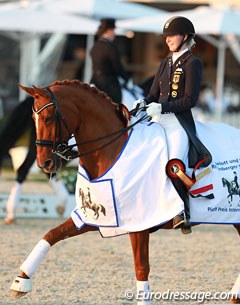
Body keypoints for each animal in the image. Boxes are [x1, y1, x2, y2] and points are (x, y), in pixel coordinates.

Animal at [9, 79, 240, 302]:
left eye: (48, 118)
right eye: (33, 118)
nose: (44, 163)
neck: (112, 150)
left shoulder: (139, 223)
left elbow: (141, 269)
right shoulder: (96, 218)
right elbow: (51, 235)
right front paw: (21, 281)